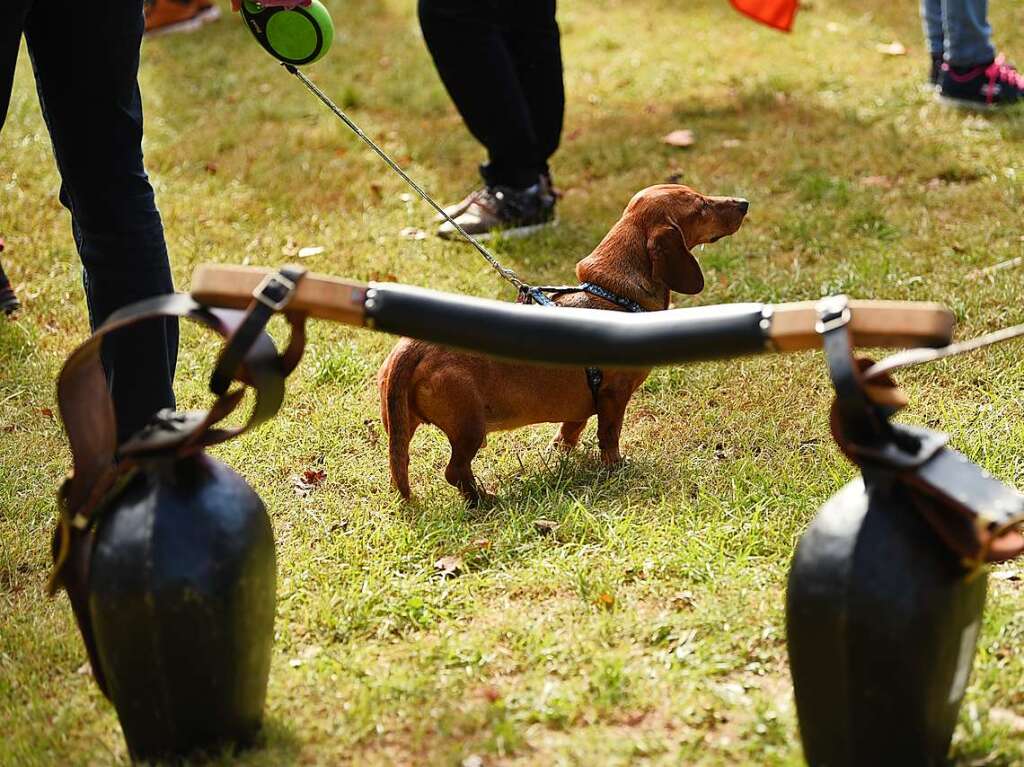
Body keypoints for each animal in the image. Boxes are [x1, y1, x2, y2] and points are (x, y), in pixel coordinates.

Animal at [376, 182, 745, 499]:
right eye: (700, 206)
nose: (744, 203)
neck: (612, 292)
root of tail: (413, 348)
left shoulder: (584, 399)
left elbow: (572, 427)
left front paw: (562, 451)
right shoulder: (613, 396)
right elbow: (608, 435)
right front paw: (615, 467)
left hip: (399, 424)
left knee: (401, 462)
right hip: (470, 428)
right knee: (455, 471)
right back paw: (484, 499)